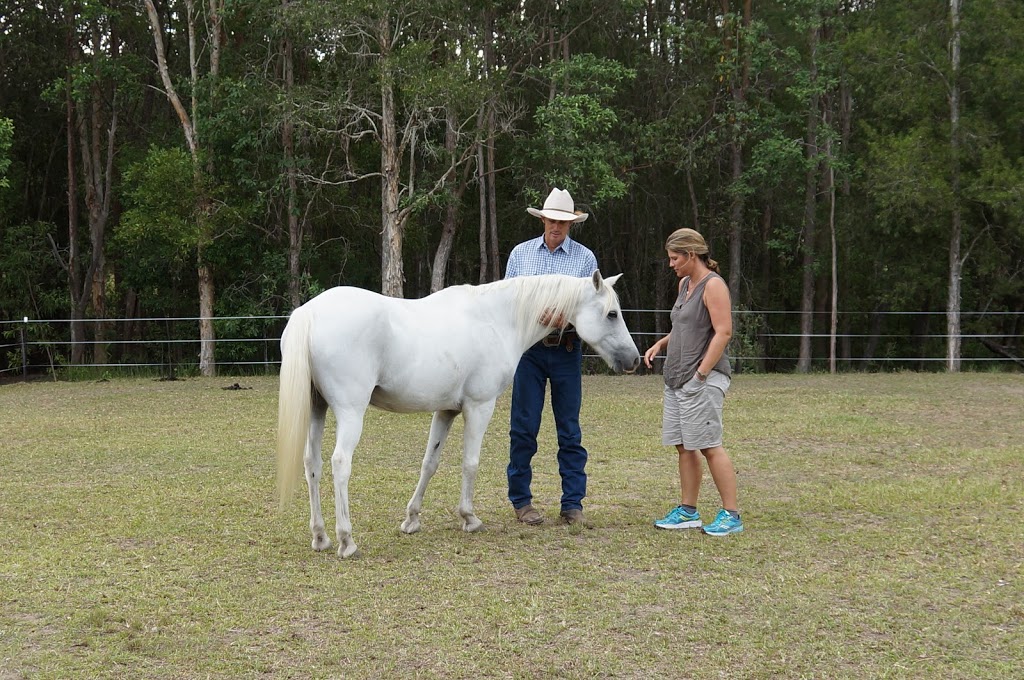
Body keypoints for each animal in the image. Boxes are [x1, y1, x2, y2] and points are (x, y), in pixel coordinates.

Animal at [276, 270, 634, 557]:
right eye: (612, 314)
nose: (632, 359)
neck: (496, 320)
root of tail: (309, 312)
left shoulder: (446, 411)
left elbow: (429, 463)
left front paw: (411, 519)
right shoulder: (479, 406)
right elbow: (470, 463)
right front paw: (469, 518)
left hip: (318, 409)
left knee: (312, 464)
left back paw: (320, 537)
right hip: (350, 413)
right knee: (340, 464)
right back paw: (346, 540)